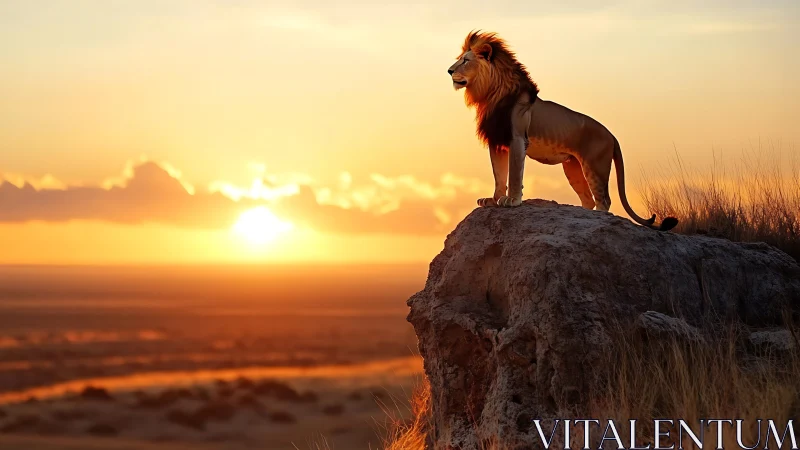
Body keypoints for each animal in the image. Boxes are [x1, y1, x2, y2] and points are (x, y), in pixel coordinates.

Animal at [448, 31, 678, 231]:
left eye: (465, 60)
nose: (449, 71)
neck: (490, 94)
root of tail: (612, 135)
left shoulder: (517, 138)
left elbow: (513, 173)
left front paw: (512, 200)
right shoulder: (497, 141)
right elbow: (499, 174)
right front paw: (493, 199)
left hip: (595, 166)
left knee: (604, 199)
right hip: (573, 168)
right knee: (588, 199)